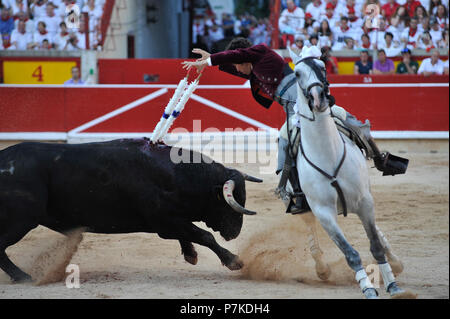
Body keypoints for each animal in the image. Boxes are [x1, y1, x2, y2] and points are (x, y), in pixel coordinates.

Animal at [0, 138, 262, 282]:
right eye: (228, 202)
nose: (234, 232)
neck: (175, 175)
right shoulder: (163, 221)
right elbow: (203, 235)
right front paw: (234, 261)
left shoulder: (169, 222)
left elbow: (190, 234)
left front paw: (190, 254)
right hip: (20, 221)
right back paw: (23, 277)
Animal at [290, 47, 410, 300]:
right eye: (296, 73)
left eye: (322, 66)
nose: (318, 98)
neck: (328, 153)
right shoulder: (323, 212)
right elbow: (350, 252)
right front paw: (368, 288)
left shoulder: (365, 202)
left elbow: (375, 244)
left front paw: (393, 285)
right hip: (304, 207)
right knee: (311, 231)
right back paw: (322, 269)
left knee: (377, 234)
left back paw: (395, 262)